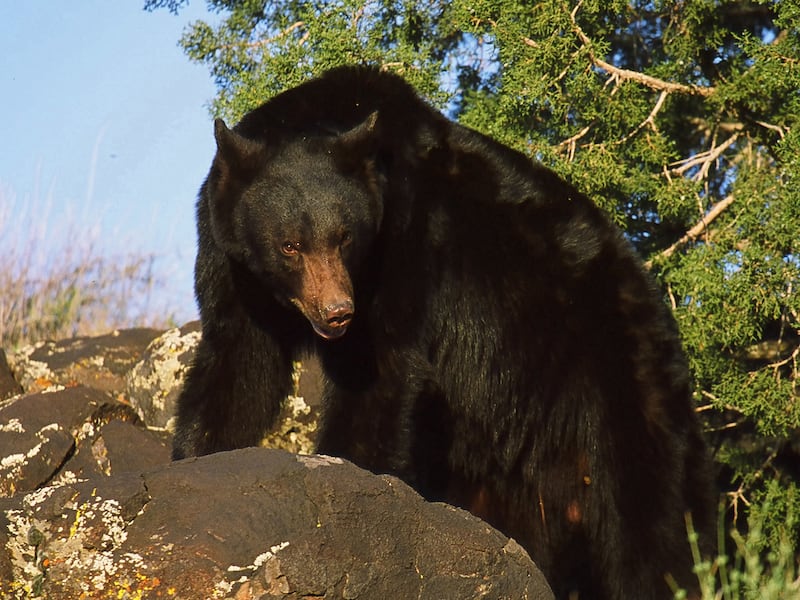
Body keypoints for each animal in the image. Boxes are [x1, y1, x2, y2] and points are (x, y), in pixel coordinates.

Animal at [172, 65, 716, 599]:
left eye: (344, 237)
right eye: (291, 245)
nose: (338, 313)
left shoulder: (408, 247)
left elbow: (380, 376)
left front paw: (346, 480)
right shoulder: (233, 269)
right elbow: (236, 370)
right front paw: (197, 459)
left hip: (614, 381)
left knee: (652, 522)